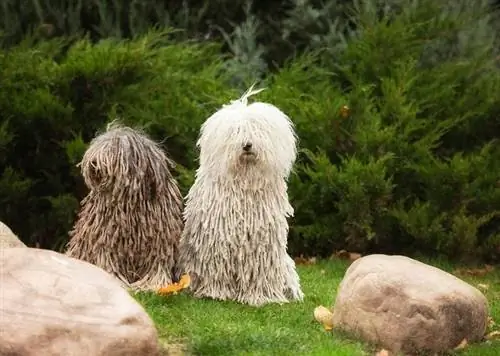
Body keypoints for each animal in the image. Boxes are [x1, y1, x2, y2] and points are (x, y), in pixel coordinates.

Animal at [65, 121, 184, 290]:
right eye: (97, 150)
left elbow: (157, 266)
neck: (131, 206)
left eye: (114, 151)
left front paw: (153, 284)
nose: (94, 163)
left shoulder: (160, 244)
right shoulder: (107, 242)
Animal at [180, 85, 304, 306]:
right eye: (235, 132)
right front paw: (216, 293)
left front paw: (259, 297)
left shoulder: (261, 246)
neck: (244, 185)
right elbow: (217, 269)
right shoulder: (218, 241)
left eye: (257, 131)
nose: (247, 145)